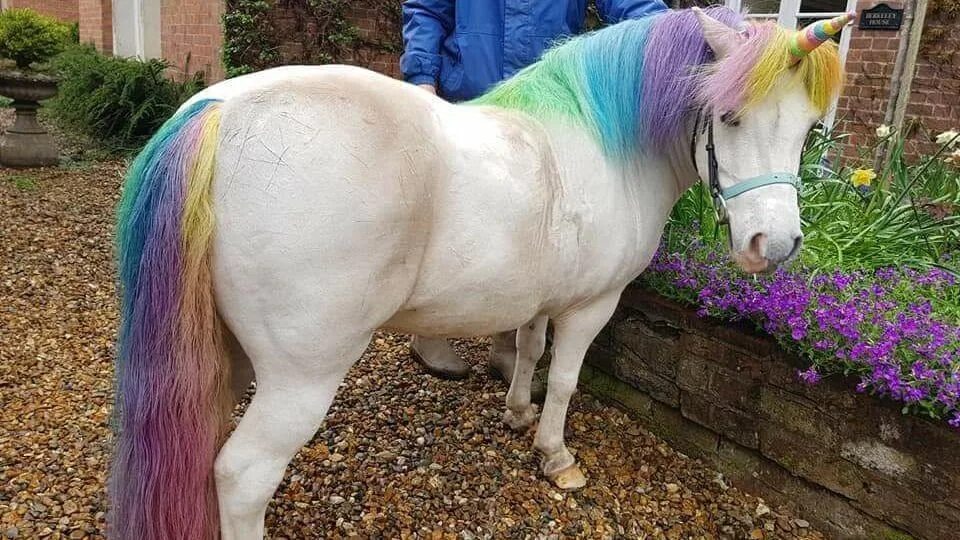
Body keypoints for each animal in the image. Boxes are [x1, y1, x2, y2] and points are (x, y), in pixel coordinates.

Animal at [109, 8, 852, 540]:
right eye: (728, 116)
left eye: (810, 130)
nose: (775, 243)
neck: (609, 142)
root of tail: (218, 114)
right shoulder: (593, 305)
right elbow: (566, 379)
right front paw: (555, 454)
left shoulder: (542, 297)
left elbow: (527, 347)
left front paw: (517, 411)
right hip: (301, 376)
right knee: (242, 476)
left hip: (222, 354)